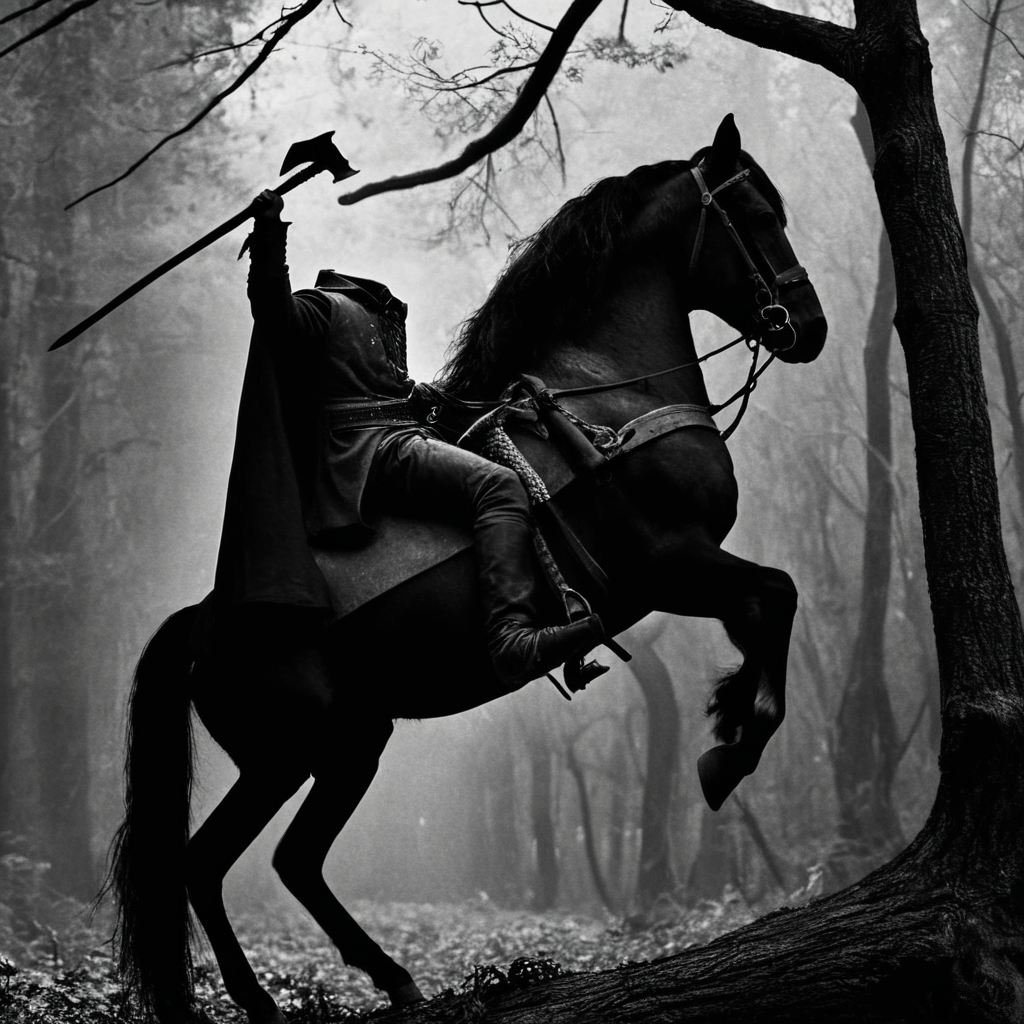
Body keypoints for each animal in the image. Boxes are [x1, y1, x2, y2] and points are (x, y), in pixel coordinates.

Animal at [108, 114, 827, 1024]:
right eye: (758, 215)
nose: (809, 325)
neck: (607, 399)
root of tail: (204, 622)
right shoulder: (672, 561)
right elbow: (778, 594)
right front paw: (736, 740)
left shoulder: (690, 569)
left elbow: (765, 608)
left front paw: (731, 716)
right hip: (287, 755)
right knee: (207, 861)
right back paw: (266, 1003)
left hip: (350, 743)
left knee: (292, 861)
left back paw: (393, 979)